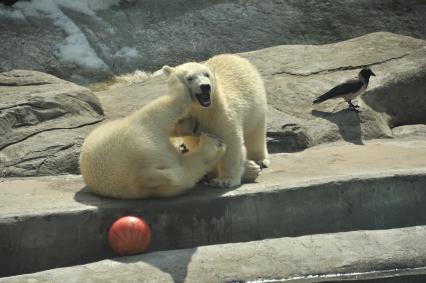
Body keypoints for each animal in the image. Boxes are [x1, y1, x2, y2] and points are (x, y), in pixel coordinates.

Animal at [163, 54, 270, 190]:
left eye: (207, 74)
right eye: (189, 78)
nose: (205, 86)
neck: (202, 110)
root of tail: (237, 57)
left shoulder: (220, 114)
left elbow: (230, 141)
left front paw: (225, 180)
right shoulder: (188, 119)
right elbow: (197, 144)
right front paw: (209, 173)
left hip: (255, 103)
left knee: (256, 133)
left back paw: (259, 160)